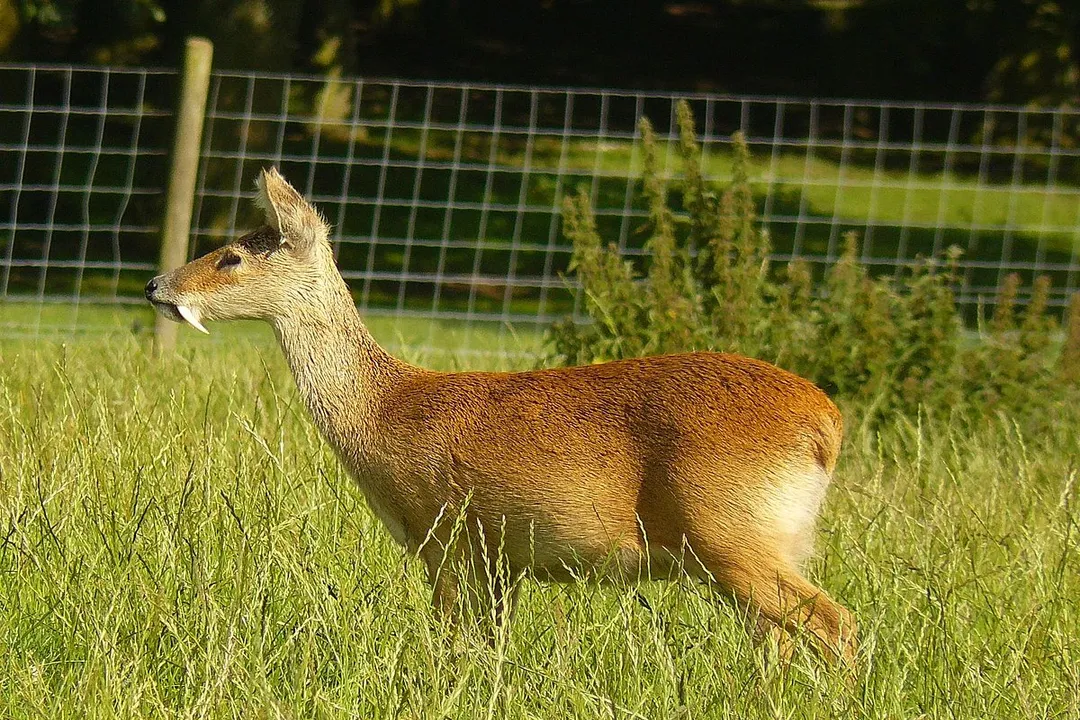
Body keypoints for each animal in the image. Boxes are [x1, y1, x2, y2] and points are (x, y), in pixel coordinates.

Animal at [145, 167, 857, 666]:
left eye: (233, 256)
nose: (156, 285)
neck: (383, 410)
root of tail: (825, 422)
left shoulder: (445, 535)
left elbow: (452, 643)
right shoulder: (496, 559)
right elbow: (491, 647)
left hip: (727, 530)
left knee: (836, 623)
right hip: (766, 541)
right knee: (783, 637)